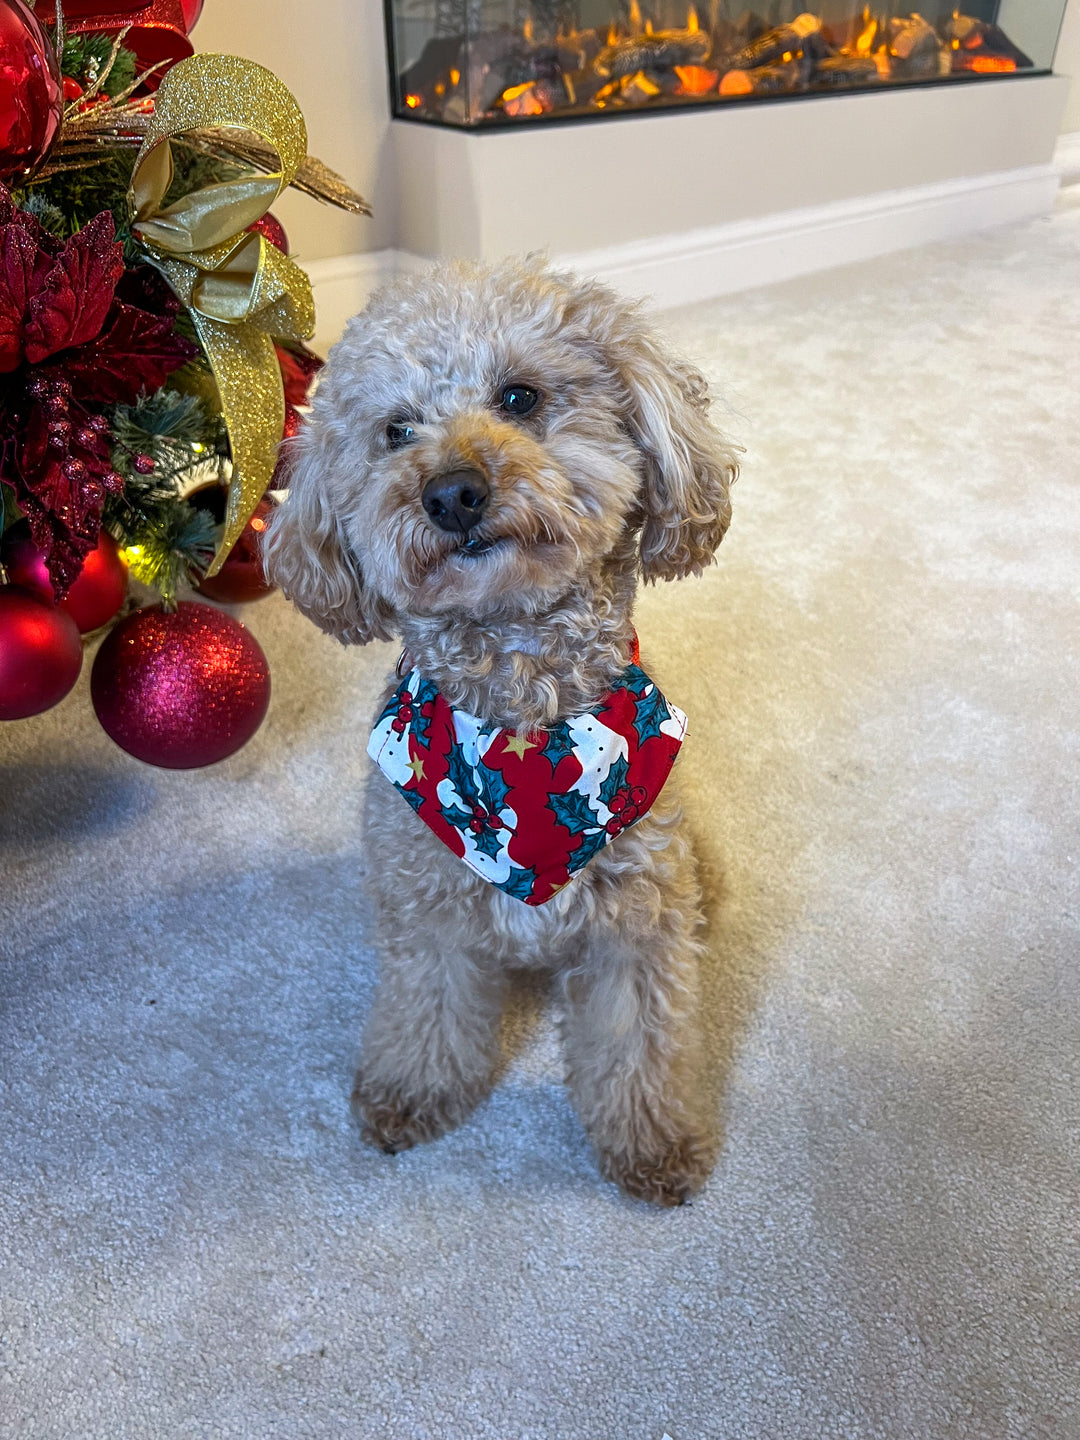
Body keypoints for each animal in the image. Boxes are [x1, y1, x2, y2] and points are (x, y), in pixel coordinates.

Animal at [263, 259, 743, 1203]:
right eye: (395, 430)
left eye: (520, 396)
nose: (450, 492)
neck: (522, 718)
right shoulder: (428, 915)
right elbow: (427, 1014)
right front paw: (411, 1094)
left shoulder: (637, 924)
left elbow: (638, 1044)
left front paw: (651, 1144)